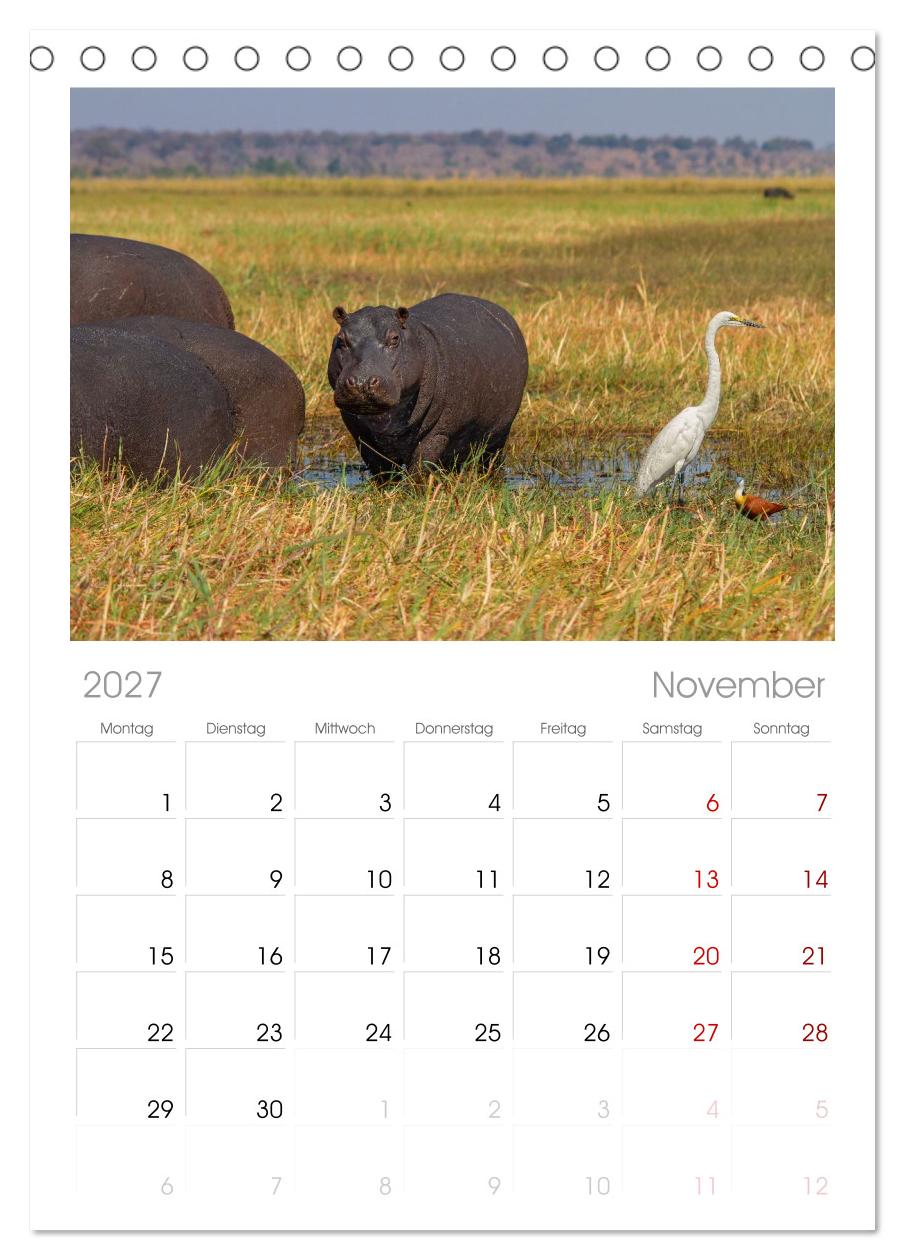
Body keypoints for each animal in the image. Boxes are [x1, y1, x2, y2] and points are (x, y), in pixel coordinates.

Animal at [327, 293, 528, 476]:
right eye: (341, 339)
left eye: (394, 338)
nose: (361, 381)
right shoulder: (363, 438)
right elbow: (381, 472)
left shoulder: (438, 434)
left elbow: (420, 468)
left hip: (500, 433)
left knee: (492, 458)